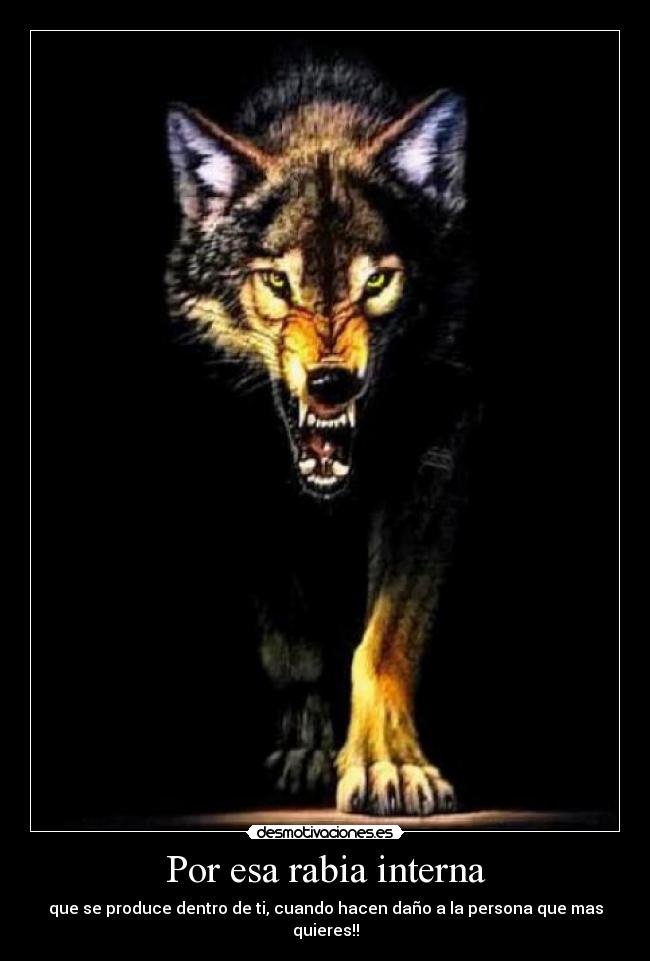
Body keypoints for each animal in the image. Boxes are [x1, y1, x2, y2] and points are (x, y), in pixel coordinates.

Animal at [166, 59, 476, 815]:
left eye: (379, 280)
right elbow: (293, 640)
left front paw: (390, 764)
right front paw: (309, 749)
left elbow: (384, 640)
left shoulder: (435, 463)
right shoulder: (242, 477)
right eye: (279, 282)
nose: (333, 383)